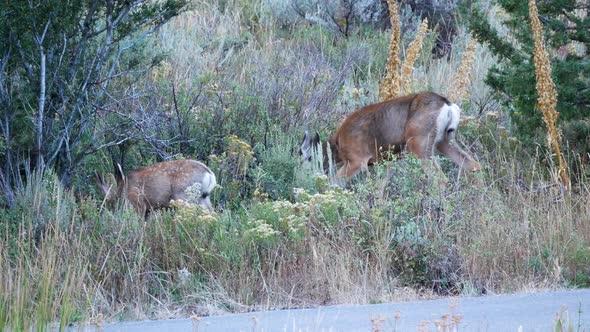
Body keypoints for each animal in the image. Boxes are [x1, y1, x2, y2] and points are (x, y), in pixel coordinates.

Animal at [302, 92, 484, 182]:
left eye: (308, 157)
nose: (304, 174)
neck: (339, 144)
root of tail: (447, 104)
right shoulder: (386, 161)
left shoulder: (357, 160)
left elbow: (334, 182)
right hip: (444, 141)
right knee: (473, 165)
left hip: (419, 144)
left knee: (441, 179)